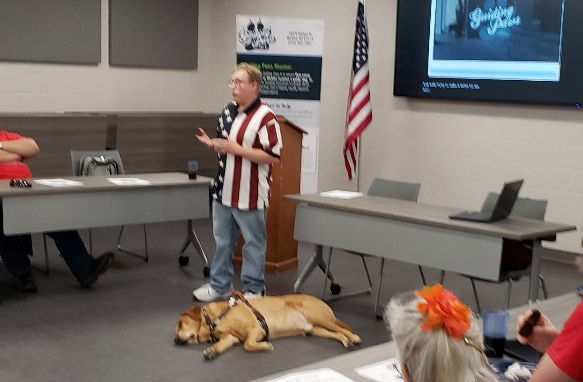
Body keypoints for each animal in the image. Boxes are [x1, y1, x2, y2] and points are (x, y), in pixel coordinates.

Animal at [173, 294, 360, 360]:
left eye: (180, 324)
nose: (175, 341)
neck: (216, 319)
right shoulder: (231, 338)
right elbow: (223, 343)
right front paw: (212, 350)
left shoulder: (257, 329)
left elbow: (248, 344)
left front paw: (264, 346)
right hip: (315, 329)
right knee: (337, 333)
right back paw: (346, 342)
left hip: (319, 317)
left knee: (344, 329)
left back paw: (354, 338)